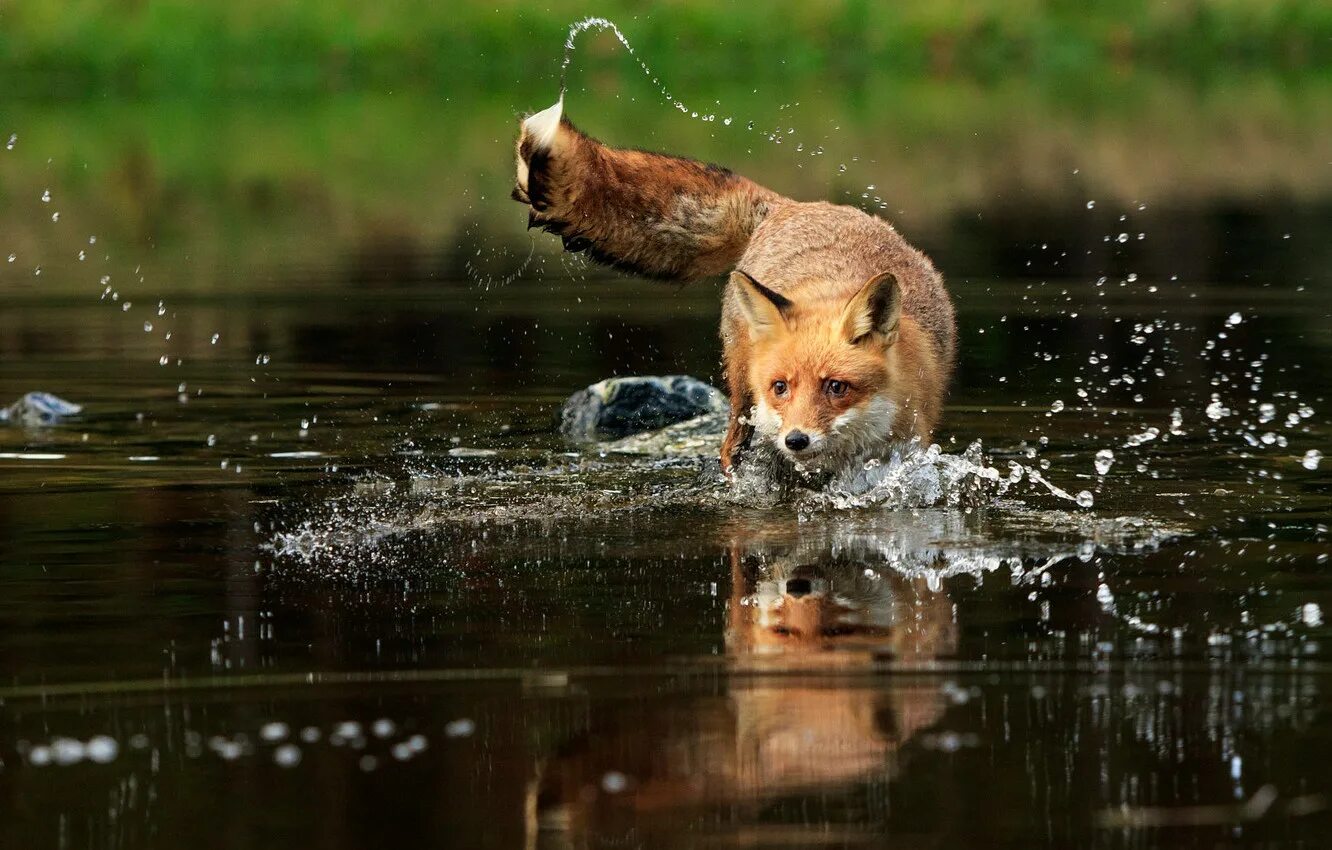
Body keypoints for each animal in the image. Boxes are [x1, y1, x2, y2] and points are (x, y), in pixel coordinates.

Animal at [511, 99, 959, 479]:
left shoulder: (909, 445)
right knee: (730, 447)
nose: (796, 440)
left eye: (836, 387)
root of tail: (793, 206)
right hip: (742, 398)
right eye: (781, 387)